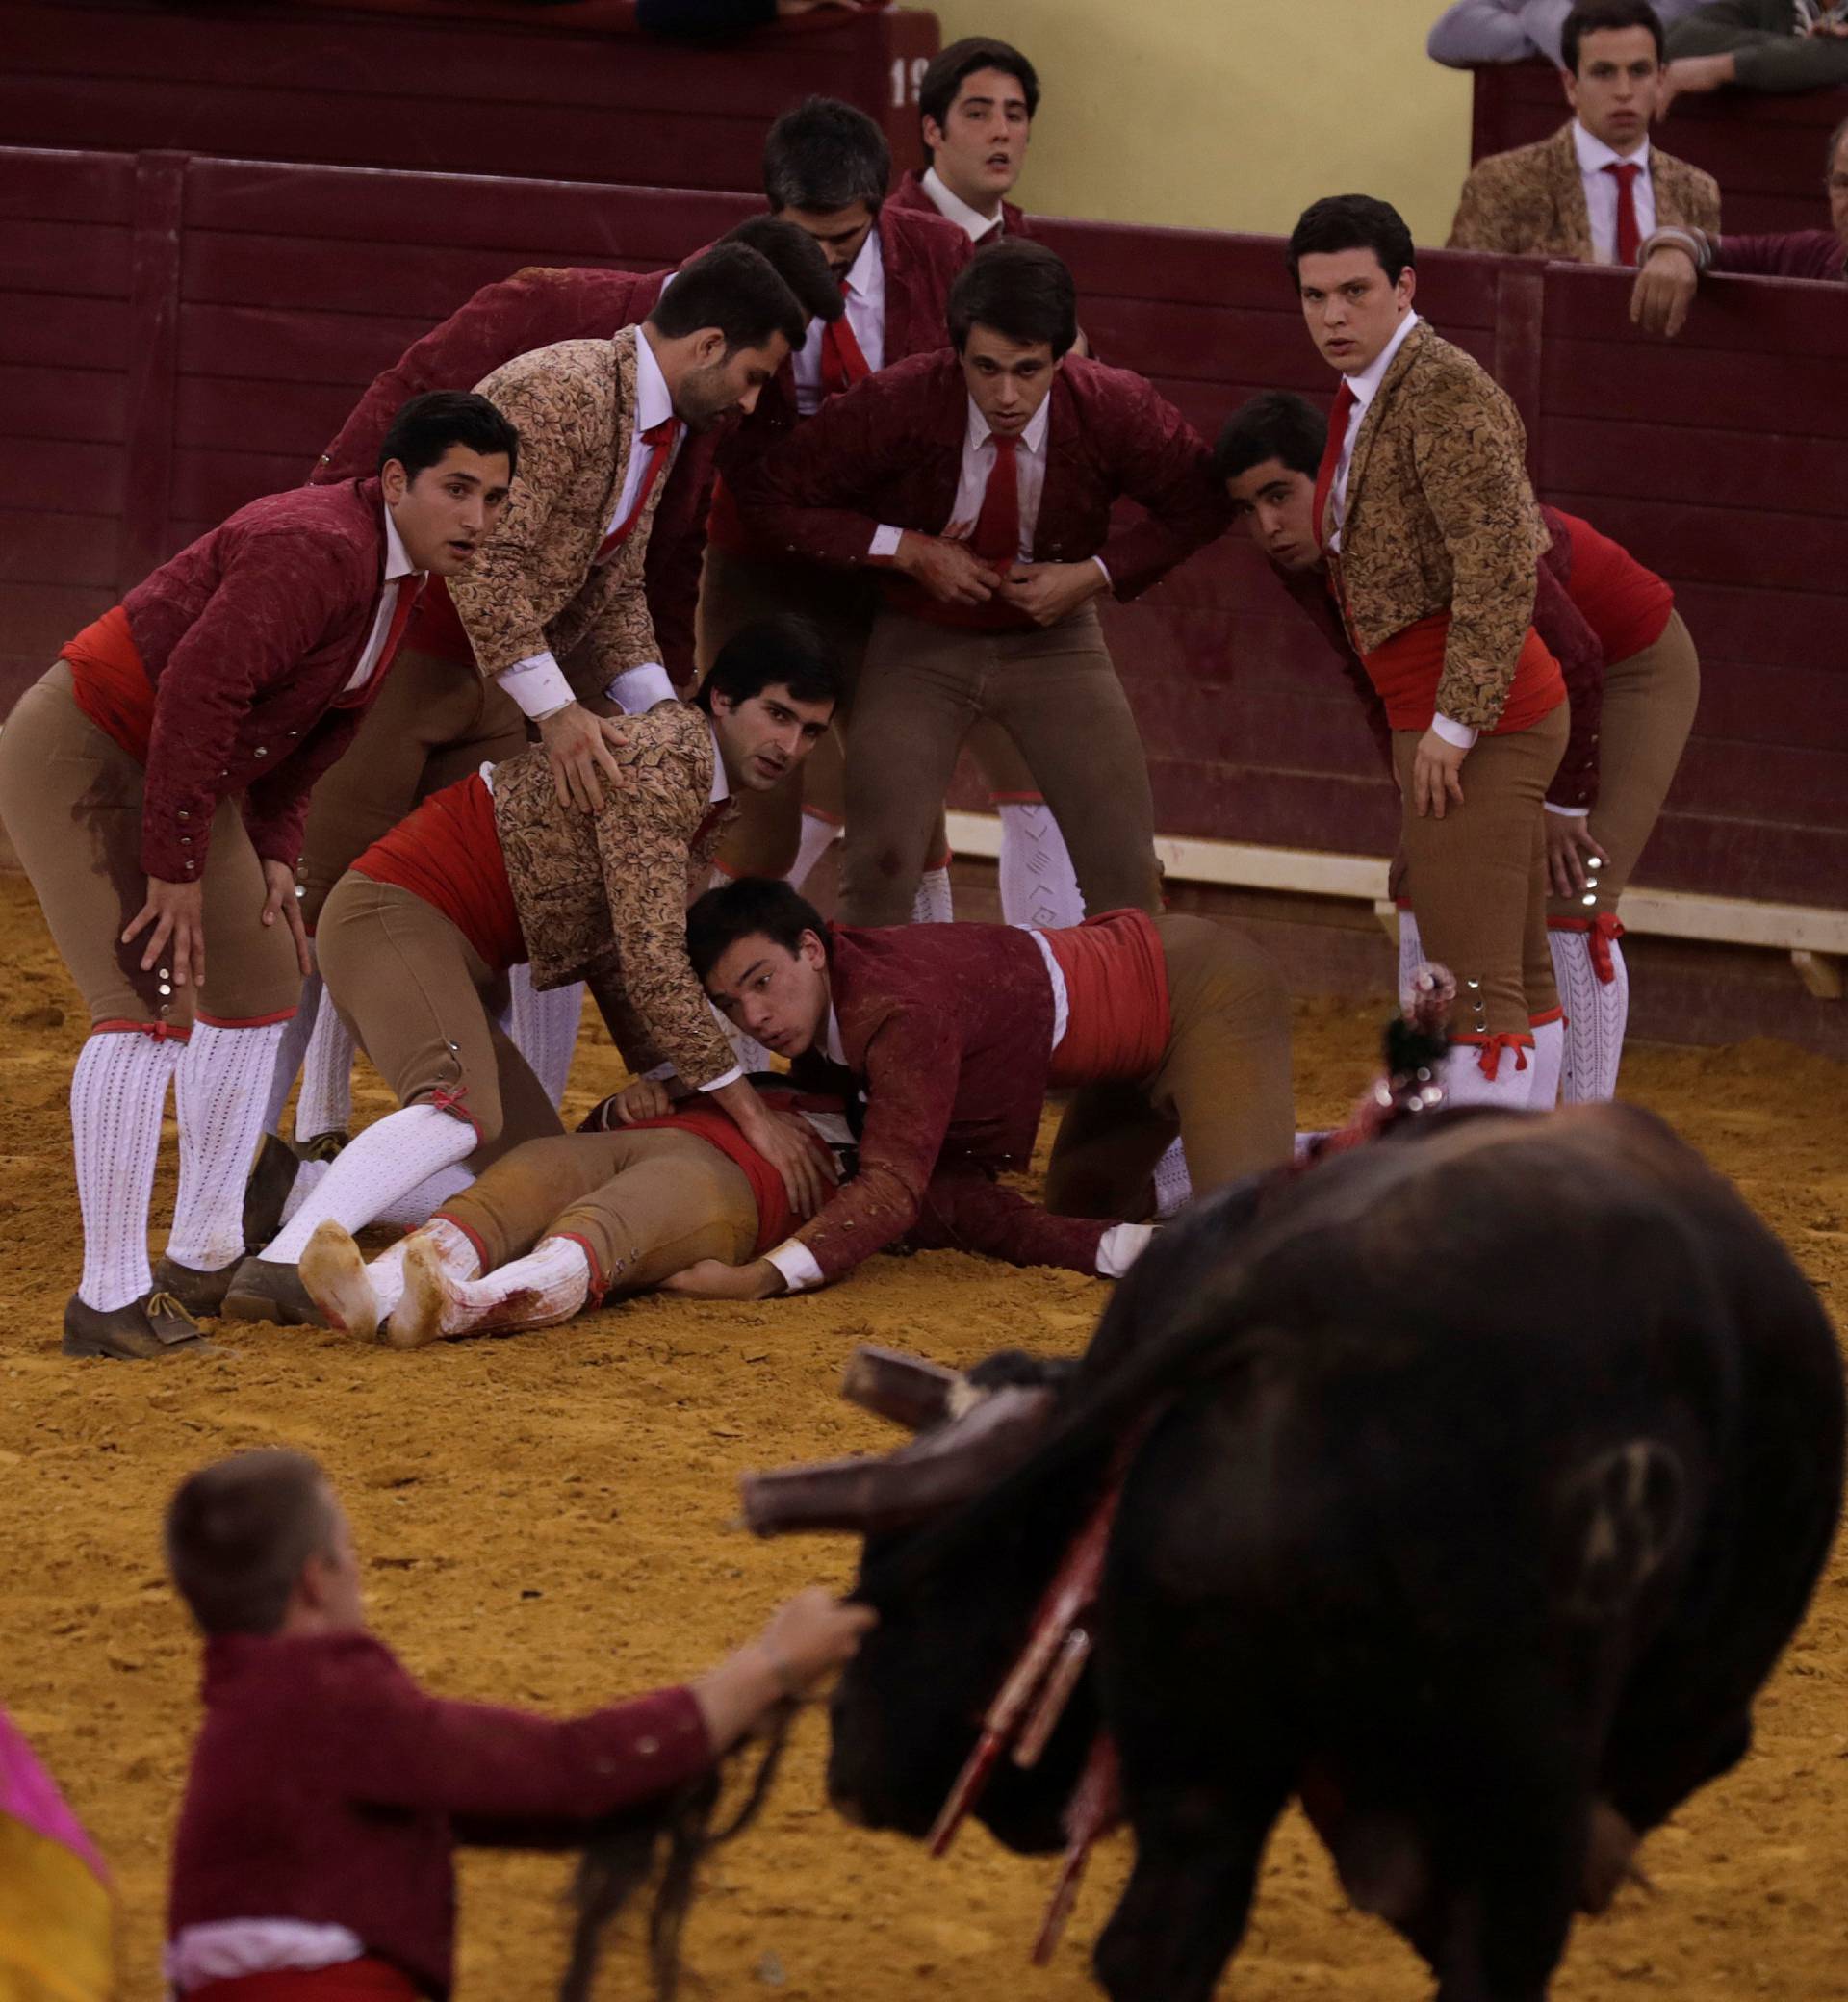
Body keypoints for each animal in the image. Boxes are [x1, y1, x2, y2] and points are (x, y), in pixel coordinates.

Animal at [744, 1113, 1841, 2002]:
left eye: (932, 1568)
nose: (849, 1761)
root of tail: (1302, 1281)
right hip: (1523, 1768)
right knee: (1492, 1956)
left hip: (1208, 1743)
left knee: (1159, 1946)